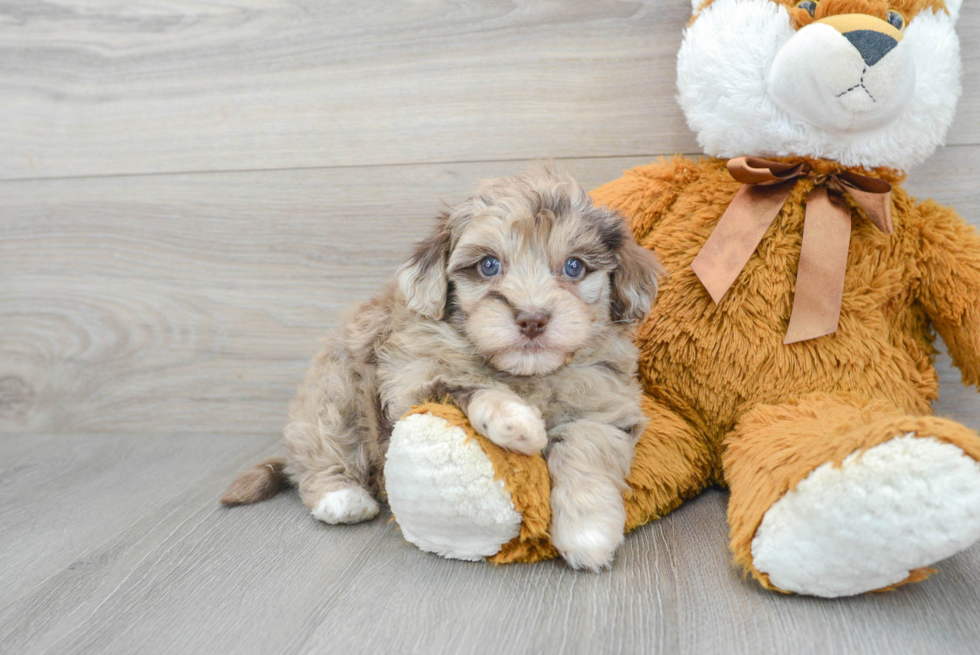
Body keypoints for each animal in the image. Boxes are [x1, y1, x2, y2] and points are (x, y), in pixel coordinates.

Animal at [224, 163, 660, 568]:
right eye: (488, 265)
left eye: (574, 267)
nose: (532, 319)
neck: (524, 374)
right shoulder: (414, 378)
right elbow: (470, 387)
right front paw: (516, 422)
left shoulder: (603, 402)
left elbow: (587, 448)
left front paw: (588, 532)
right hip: (335, 389)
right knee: (323, 448)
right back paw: (340, 496)